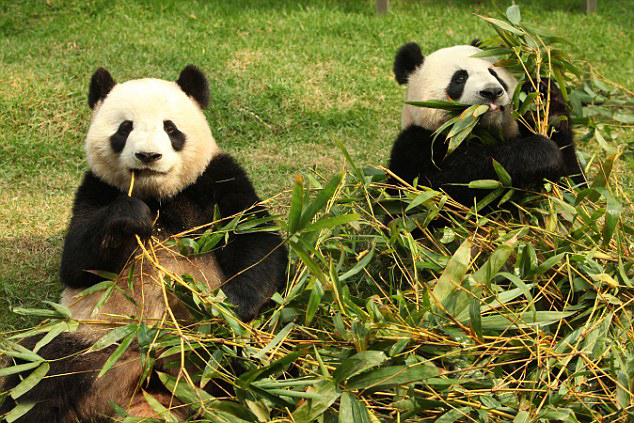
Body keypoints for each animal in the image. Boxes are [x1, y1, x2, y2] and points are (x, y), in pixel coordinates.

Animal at [0, 64, 286, 422]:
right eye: (125, 128)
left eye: (170, 128)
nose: (148, 156)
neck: (157, 194)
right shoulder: (96, 188)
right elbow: (76, 263)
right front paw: (131, 216)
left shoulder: (216, 178)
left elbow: (257, 239)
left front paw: (227, 307)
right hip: (93, 336)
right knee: (40, 373)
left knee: (270, 359)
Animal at [386, 40, 584, 210]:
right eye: (460, 78)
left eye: (494, 74)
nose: (492, 92)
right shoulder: (414, 147)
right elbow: (442, 185)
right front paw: (539, 152)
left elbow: (574, 186)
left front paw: (544, 103)